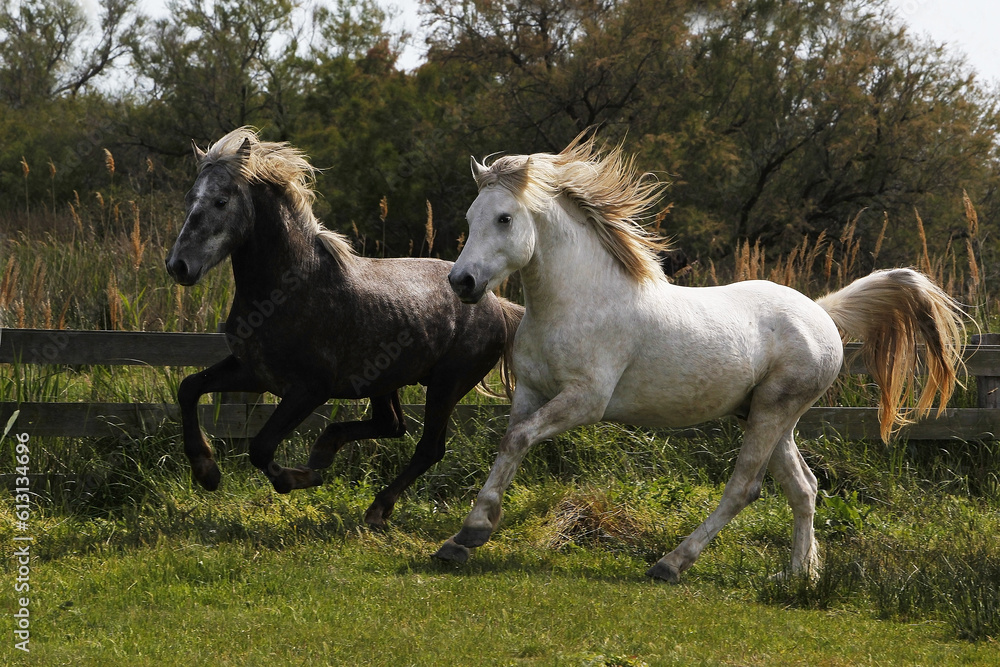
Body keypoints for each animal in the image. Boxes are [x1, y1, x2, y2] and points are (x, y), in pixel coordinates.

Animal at [165, 127, 522, 527]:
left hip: (447, 384)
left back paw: (377, 506)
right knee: (391, 425)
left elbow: (260, 447)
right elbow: (189, 387)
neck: (287, 288)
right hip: (384, 381)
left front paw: (297, 478)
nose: (179, 266)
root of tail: (496, 304)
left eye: (221, 201)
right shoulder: (254, 372)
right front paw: (206, 472)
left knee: (428, 448)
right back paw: (326, 447)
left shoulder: (309, 388)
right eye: (190, 198)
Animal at [433, 133, 965, 582]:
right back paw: (799, 577)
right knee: (804, 488)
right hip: (768, 415)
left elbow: (519, 439)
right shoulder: (530, 391)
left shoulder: (585, 401)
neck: (576, 300)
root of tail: (822, 313)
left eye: (504, 218)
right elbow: (509, 443)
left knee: (745, 488)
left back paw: (670, 565)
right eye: (470, 218)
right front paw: (460, 540)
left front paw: (473, 532)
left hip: (773, 410)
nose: (462, 282)